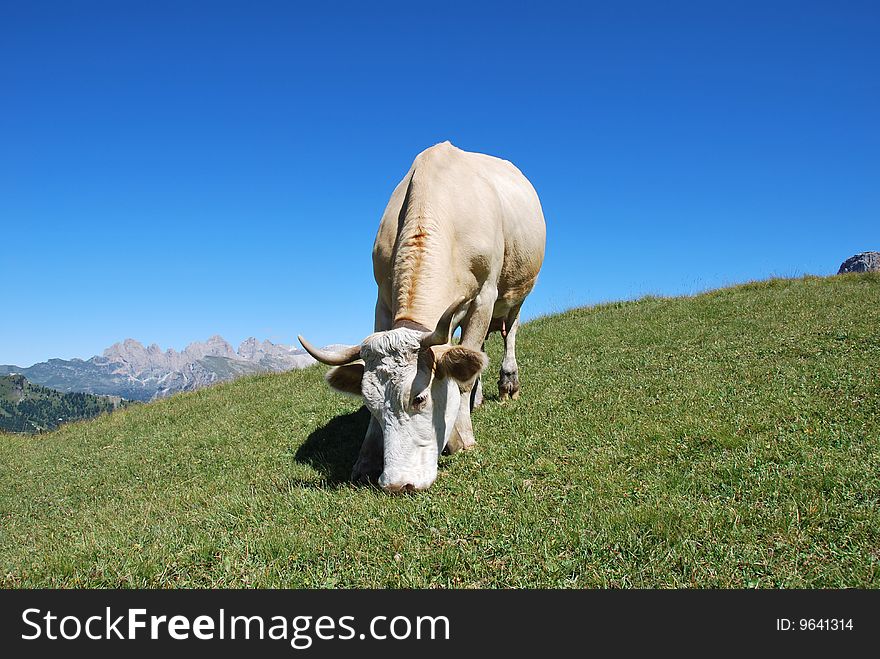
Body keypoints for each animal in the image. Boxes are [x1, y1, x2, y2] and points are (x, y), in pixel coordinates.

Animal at [300, 141, 548, 490]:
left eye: (419, 399)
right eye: (369, 404)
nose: (397, 484)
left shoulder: (484, 296)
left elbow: (463, 380)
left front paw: (463, 437)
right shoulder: (382, 300)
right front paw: (366, 458)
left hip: (517, 292)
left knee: (508, 332)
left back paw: (507, 384)